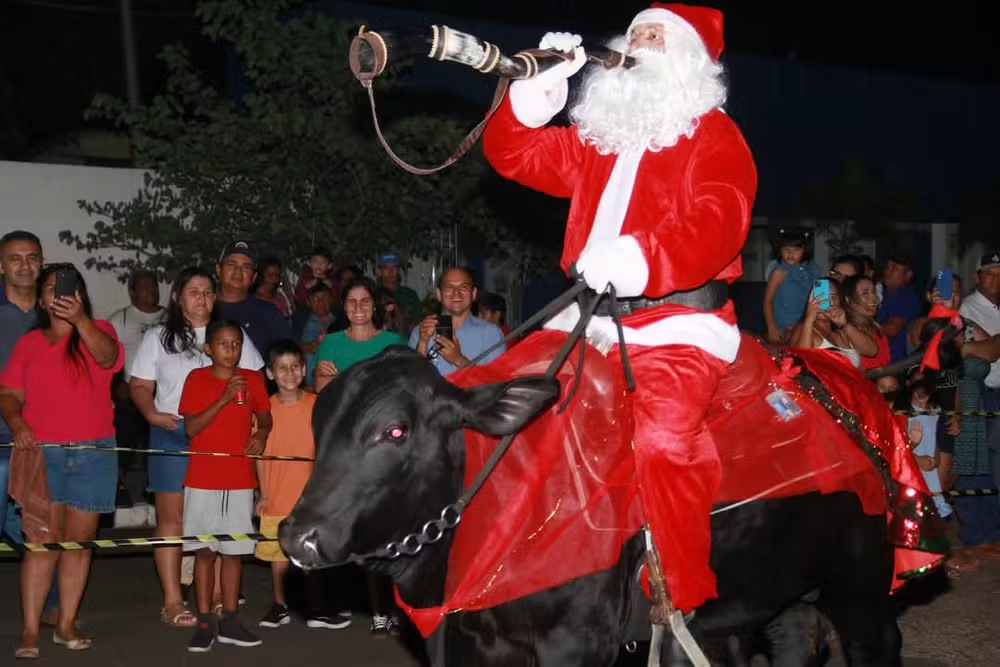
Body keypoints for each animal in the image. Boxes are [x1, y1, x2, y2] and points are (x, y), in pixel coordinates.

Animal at [280, 348, 900, 664]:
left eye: (394, 430)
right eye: (318, 421)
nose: (297, 535)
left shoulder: (576, 641)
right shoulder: (459, 642)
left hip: (862, 584)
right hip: (772, 597)